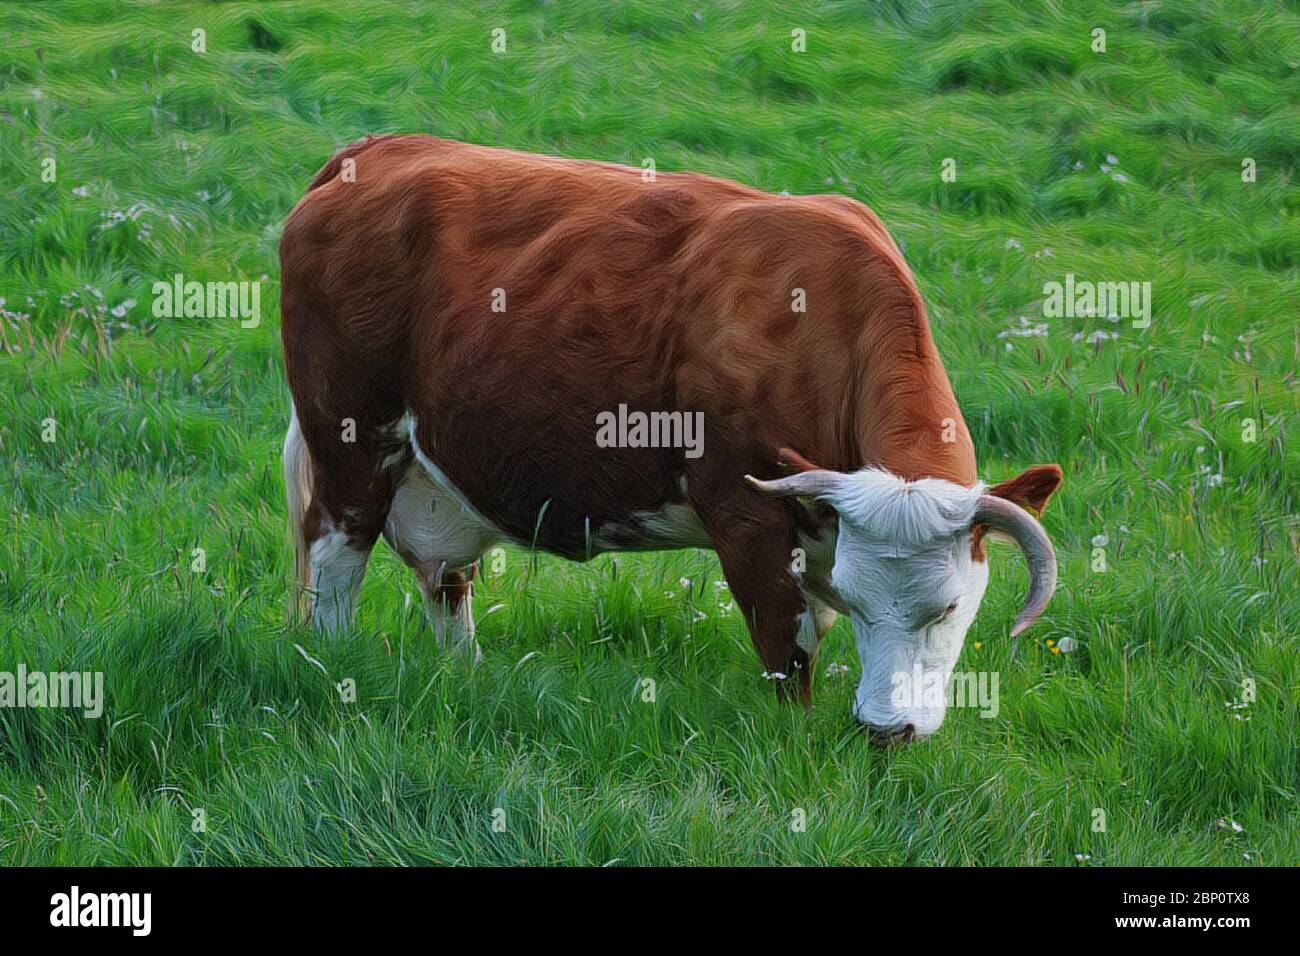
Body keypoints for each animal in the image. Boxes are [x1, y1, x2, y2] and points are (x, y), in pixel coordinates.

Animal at [279, 135, 1062, 744]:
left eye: (950, 606)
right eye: (860, 599)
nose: (885, 729)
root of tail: (377, 149)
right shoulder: (745, 517)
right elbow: (789, 651)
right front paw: (796, 746)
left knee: (446, 580)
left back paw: (465, 677)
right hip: (350, 438)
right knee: (337, 560)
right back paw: (333, 668)